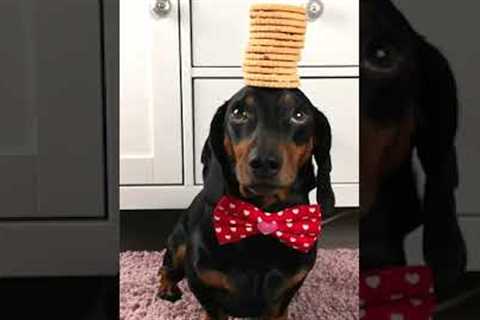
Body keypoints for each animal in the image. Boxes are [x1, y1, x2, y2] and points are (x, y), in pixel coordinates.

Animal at [158, 86, 334, 318]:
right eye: (238, 113)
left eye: (299, 115)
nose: (264, 162)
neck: (261, 216)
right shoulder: (201, 283)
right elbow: (212, 308)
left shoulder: (285, 293)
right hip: (178, 245)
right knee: (166, 268)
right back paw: (167, 288)